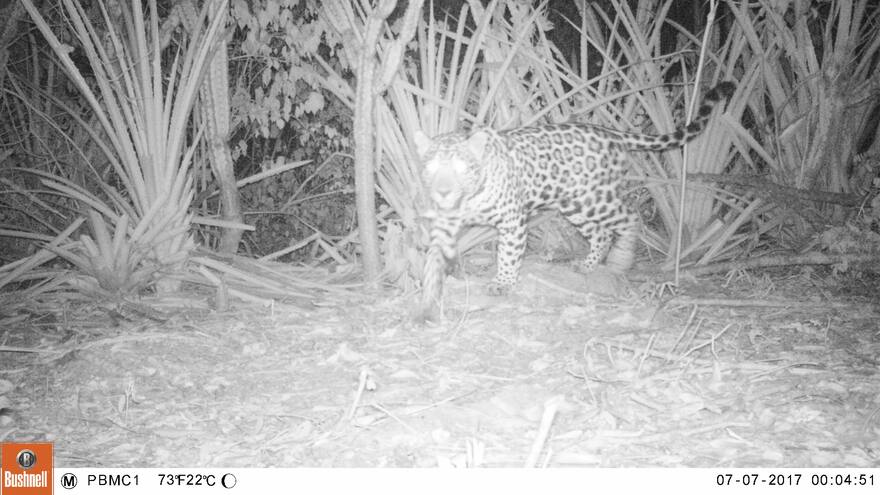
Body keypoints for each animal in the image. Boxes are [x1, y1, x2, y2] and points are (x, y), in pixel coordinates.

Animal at [413, 82, 735, 317]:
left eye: (463, 168)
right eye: (431, 168)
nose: (443, 191)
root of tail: (611, 132)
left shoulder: (513, 220)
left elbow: (508, 254)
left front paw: (502, 283)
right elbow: (433, 254)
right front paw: (430, 287)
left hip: (597, 198)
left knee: (630, 218)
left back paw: (620, 261)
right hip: (575, 204)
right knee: (601, 233)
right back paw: (587, 265)